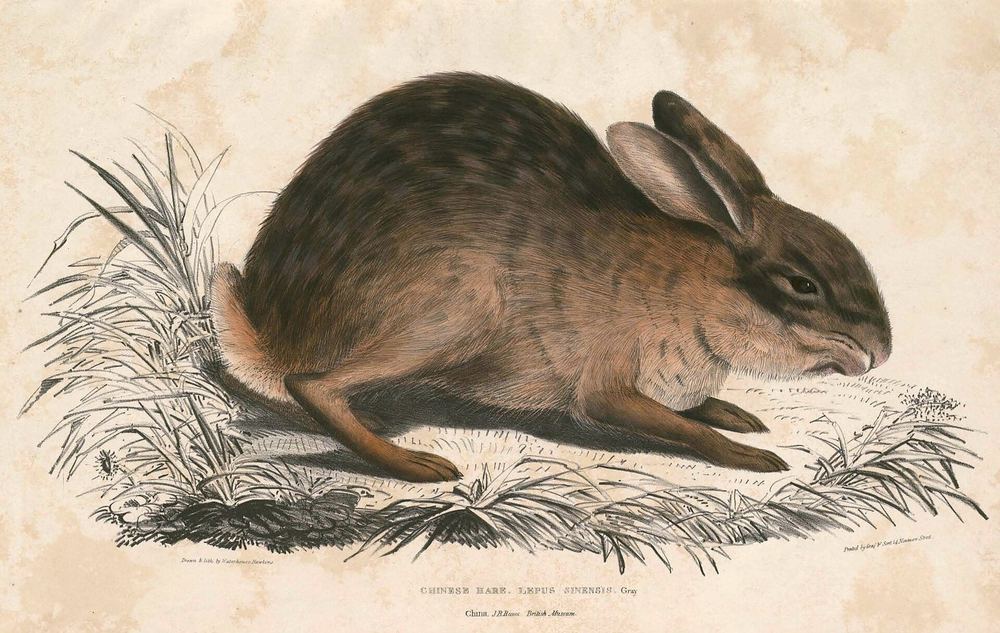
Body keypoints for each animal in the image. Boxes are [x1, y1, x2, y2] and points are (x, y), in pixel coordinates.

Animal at [211, 72, 891, 482]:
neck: (694, 287)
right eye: (802, 284)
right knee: (313, 385)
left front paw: (736, 414)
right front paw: (751, 453)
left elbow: (697, 409)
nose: (881, 352)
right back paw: (415, 465)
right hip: (460, 306)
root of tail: (272, 332)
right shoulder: (607, 383)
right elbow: (672, 424)